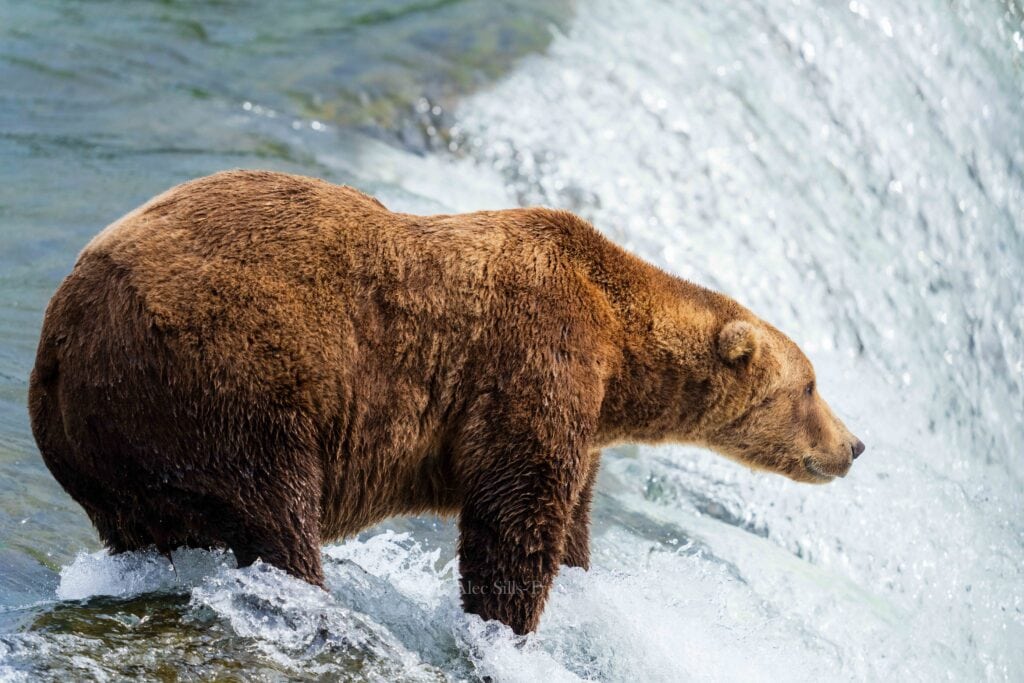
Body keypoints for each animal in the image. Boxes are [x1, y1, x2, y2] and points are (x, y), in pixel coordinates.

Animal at [28, 170, 864, 635]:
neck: (618, 347)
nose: (854, 444)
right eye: (812, 385)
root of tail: (61, 331)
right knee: (274, 509)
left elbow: (571, 517)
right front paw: (505, 629)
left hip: (111, 446)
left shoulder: (583, 415)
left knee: (148, 525)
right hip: (225, 380)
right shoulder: (533, 359)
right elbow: (514, 517)